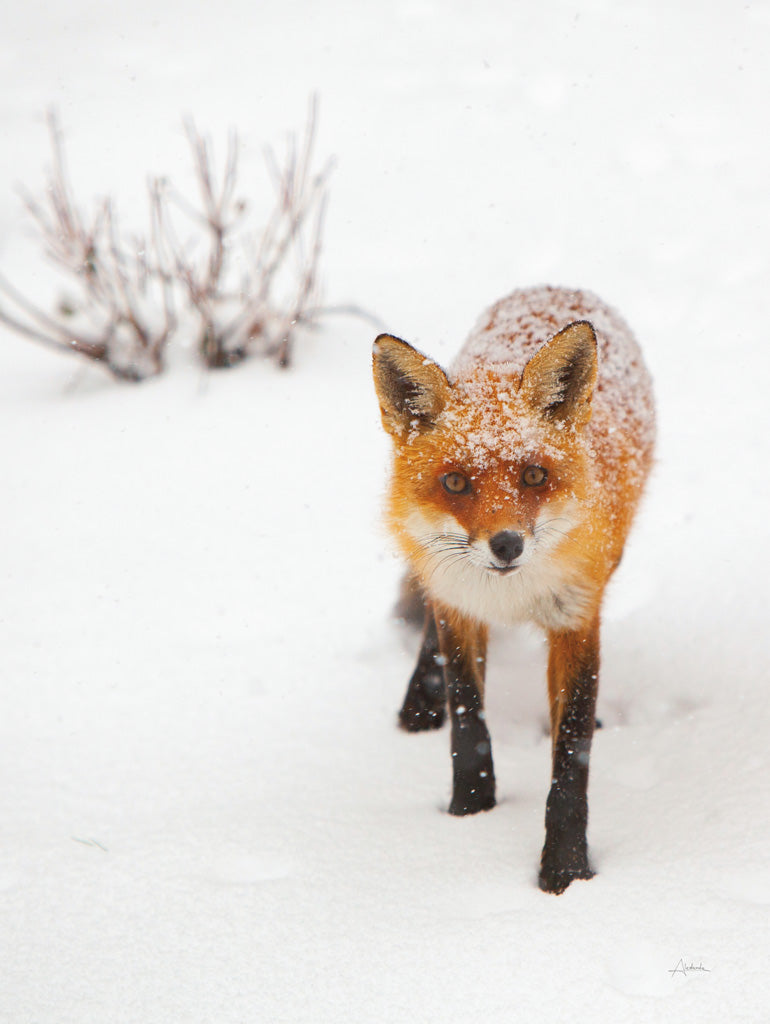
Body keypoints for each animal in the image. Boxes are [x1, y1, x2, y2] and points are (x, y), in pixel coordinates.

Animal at [372, 285, 655, 894]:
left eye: (533, 477)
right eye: (456, 482)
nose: (506, 545)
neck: (510, 597)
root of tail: (554, 286)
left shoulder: (577, 617)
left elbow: (571, 756)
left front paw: (566, 870)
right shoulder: (460, 609)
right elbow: (467, 722)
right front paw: (470, 813)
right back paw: (418, 703)